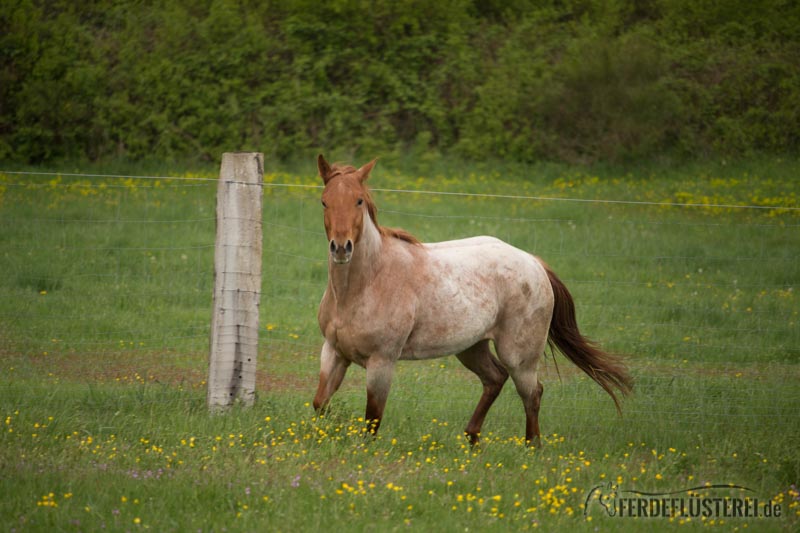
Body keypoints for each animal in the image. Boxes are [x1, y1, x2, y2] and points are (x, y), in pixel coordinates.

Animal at [312, 155, 632, 444]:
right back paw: (472, 437)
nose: (341, 248)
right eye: (324, 201)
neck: (364, 285)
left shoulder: (382, 361)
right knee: (495, 379)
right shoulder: (334, 352)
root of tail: (534, 262)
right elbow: (320, 404)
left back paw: (531, 447)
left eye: (359, 201)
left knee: (532, 393)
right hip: (471, 347)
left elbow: (372, 419)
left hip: (519, 357)